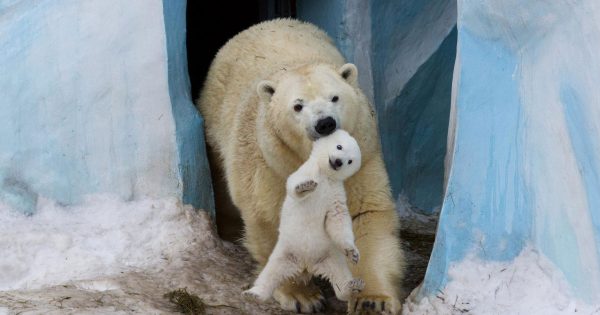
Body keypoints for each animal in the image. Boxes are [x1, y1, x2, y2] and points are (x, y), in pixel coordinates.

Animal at [244, 130, 366, 304]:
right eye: (339, 146)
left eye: (350, 161)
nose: (338, 162)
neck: (325, 176)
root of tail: (306, 265)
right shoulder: (307, 170)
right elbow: (293, 184)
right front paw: (305, 186)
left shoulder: (335, 193)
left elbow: (337, 219)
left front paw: (353, 253)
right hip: (285, 252)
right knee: (270, 273)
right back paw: (254, 293)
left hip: (329, 256)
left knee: (340, 275)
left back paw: (353, 287)